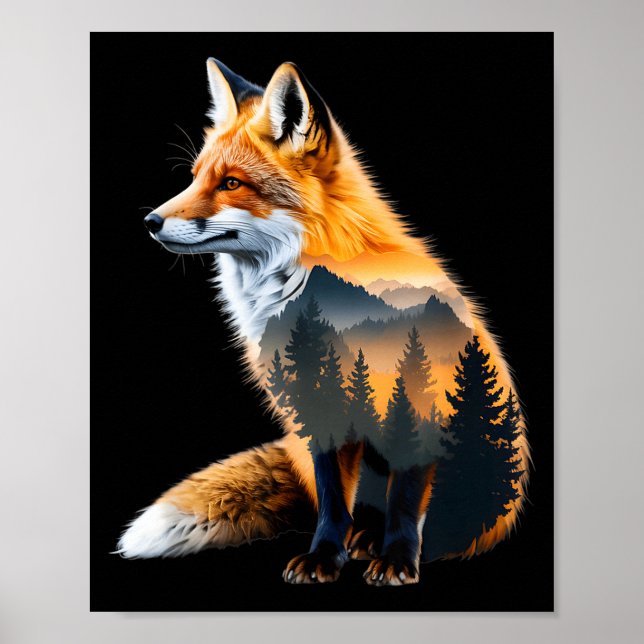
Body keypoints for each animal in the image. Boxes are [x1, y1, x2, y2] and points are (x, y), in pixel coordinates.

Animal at [117, 58, 531, 586]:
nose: (150, 221)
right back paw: (361, 539)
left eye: (230, 183)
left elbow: (406, 500)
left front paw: (398, 559)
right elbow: (334, 501)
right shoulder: (318, 406)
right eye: (193, 178)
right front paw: (323, 557)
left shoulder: (420, 396)